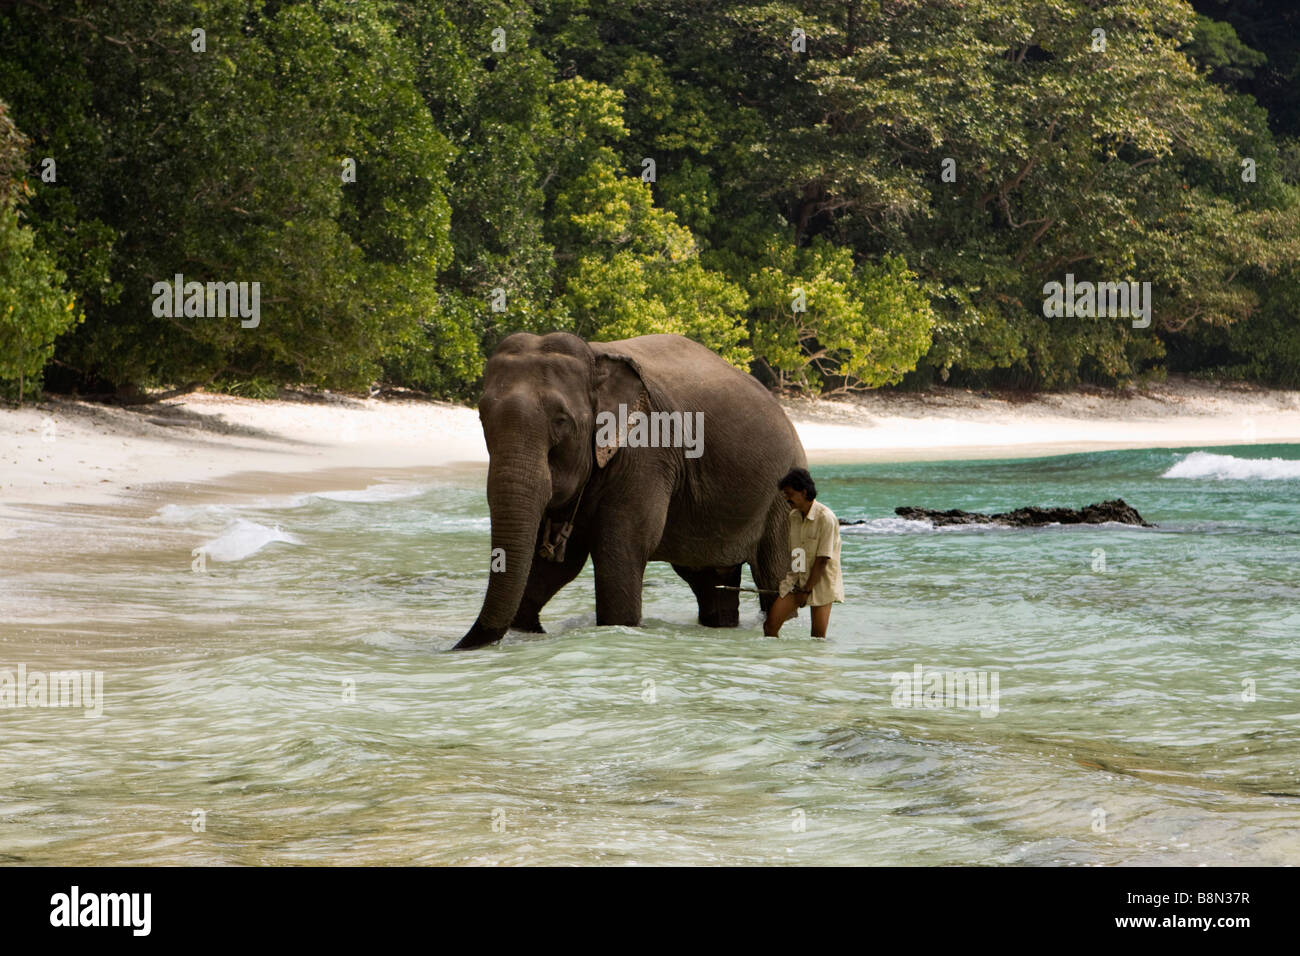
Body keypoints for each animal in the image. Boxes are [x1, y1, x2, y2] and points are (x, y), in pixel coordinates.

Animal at [454, 330, 800, 650]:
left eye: (562, 420)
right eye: (482, 417)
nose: (456, 647)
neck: (595, 357)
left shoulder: (647, 452)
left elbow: (621, 549)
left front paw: (617, 629)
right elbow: (557, 566)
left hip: (782, 501)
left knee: (775, 579)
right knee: (710, 585)